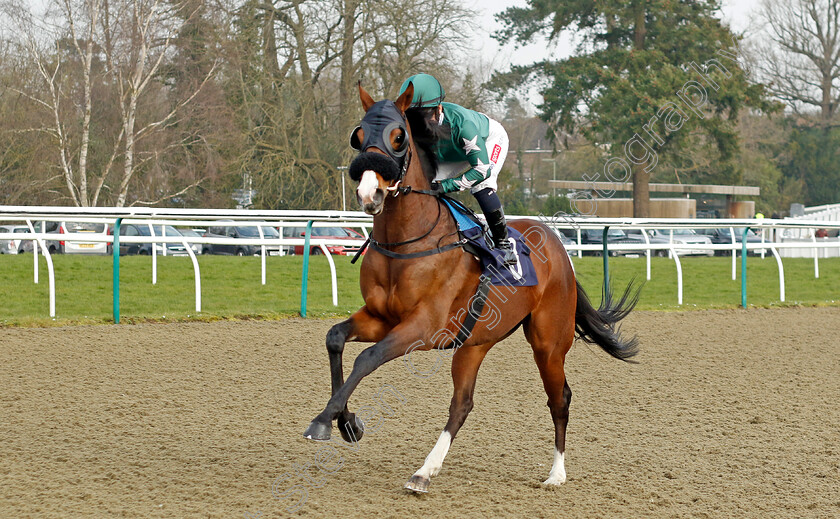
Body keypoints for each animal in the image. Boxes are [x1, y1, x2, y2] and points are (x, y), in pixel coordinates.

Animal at [306, 83, 640, 494]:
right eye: (358, 135)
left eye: (398, 137)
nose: (370, 194)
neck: (407, 242)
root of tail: (557, 244)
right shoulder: (380, 318)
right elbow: (335, 338)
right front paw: (346, 421)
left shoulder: (422, 327)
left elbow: (366, 358)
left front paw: (326, 421)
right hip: (474, 344)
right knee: (462, 404)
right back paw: (425, 470)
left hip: (548, 343)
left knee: (559, 398)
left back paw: (556, 474)